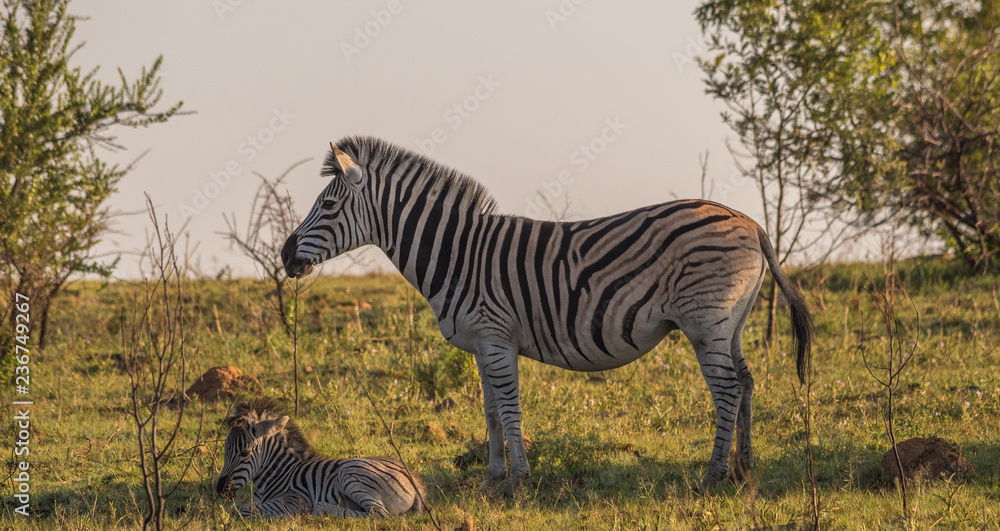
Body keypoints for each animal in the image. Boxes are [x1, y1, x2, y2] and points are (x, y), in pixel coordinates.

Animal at [216, 397, 427, 518]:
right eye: (224, 451)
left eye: (244, 453)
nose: (219, 489)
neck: (279, 473)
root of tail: (412, 478)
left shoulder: (295, 500)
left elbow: (239, 510)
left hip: (350, 474)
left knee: (379, 515)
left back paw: (323, 509)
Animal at [280, 136, 812, 492]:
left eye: (329, 205)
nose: (284, 256)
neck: (458, 254)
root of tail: (750, 221)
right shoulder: (481, 345)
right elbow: (490, 411)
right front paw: (492, 479)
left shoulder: (496, 339)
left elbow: (509, 408)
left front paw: (518, 480)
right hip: (730, 323)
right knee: (745, 381)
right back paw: (744, 468)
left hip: (705, 321)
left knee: (726, 390)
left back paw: (714, 474)